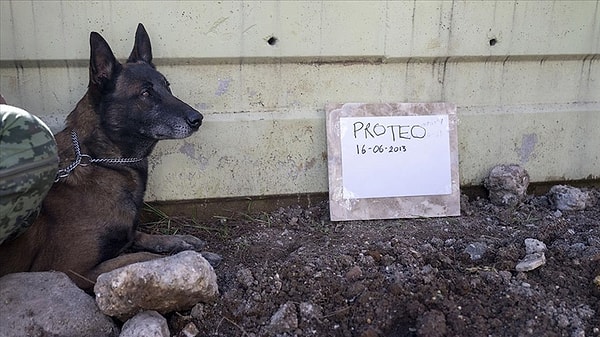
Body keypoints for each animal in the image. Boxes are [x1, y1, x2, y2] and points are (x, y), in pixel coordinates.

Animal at [0, 23, 209, 288]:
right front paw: (196, 257)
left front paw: (179, 241)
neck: (103, 161)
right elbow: (140, 258)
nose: (197, 119)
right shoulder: (69, 270)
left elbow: (139, 236)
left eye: (167, 86)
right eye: (146, 93)